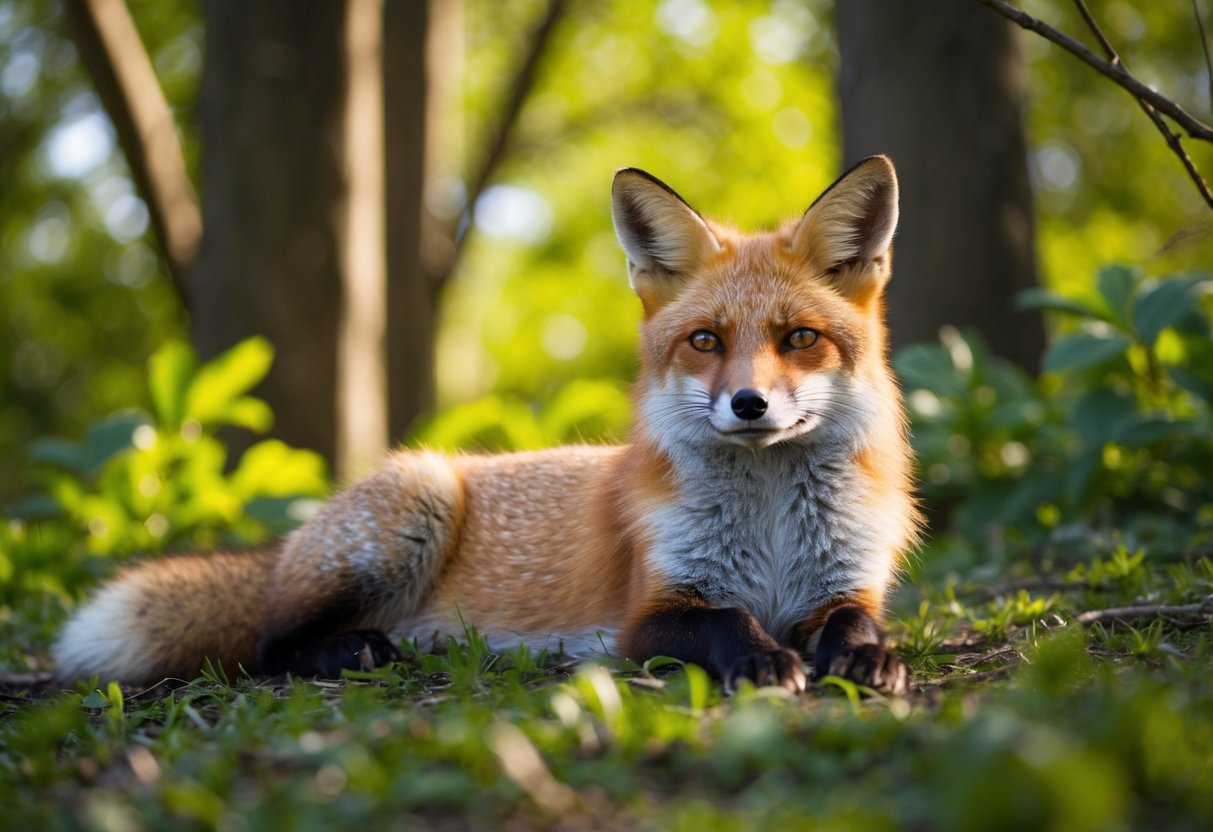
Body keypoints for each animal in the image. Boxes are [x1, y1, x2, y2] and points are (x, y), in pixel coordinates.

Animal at [54, 156, 919, 696]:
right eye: (705, 341)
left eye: (797, 338)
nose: (748, 404)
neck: (770, 528)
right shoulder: (649, 614)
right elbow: (730, 620)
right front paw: (766, 663)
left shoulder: (843, 583)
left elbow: (853, 622)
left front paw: (868, 657)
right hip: (412, 505)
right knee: (268, 645)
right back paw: (353, 648)